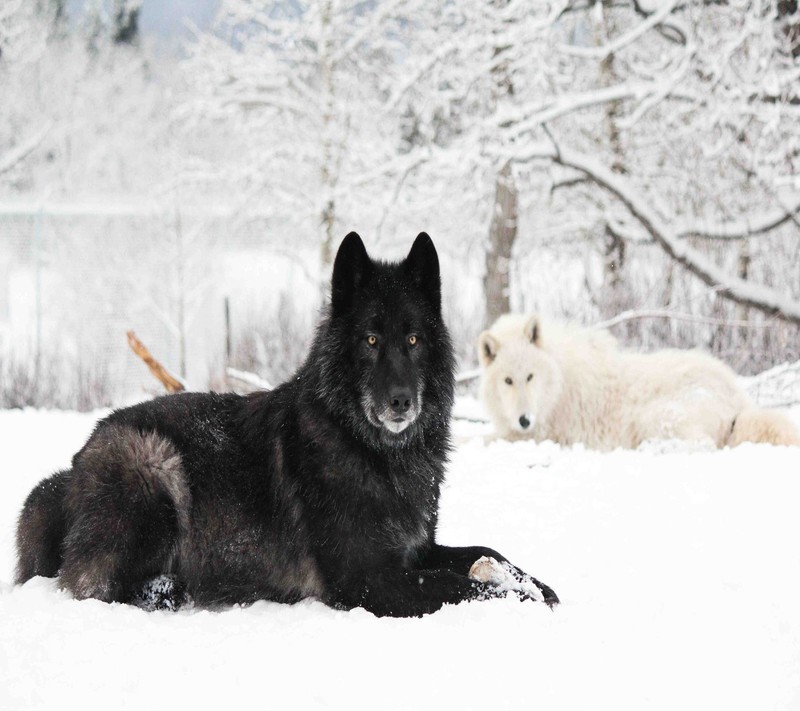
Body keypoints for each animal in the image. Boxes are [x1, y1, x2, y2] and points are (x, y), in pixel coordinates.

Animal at [17, 234, 556, 616]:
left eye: (414, 339)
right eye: (371, 339)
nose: (402, 400)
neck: (372, 452)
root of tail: (73, 468)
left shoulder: (415, 551)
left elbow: (485, 551)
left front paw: (537, 584)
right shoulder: (369, 580)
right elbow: (458, 584)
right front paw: (518, 598)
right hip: (154, 464)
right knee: (94, 586)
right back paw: (172, 588)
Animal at [478, 312, 796, 450]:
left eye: (530, 377)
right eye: (508, 380)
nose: (524, 420)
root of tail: (740, 401)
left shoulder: (541, 435)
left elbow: (478, 438)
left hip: (655, 416)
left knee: (703, 445)